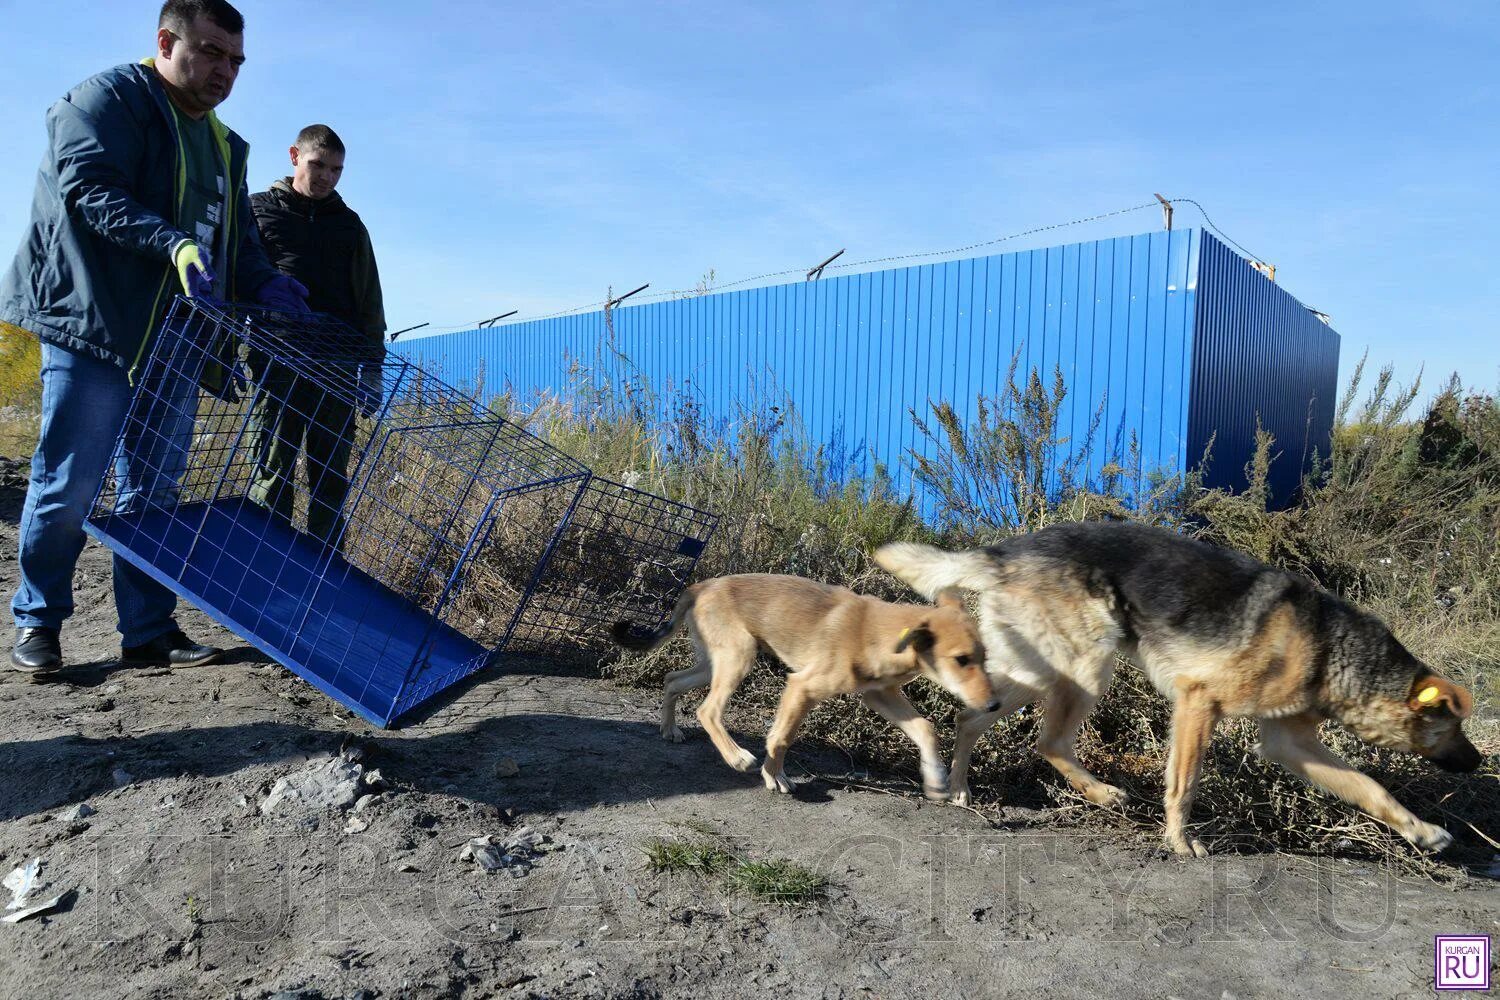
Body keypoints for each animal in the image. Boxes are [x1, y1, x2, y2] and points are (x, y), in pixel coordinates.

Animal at [876, 521, 1482, 857]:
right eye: (1455, 726)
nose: (1478, 762)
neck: (1332, 649)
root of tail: (1004, 552)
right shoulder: (1199, 704)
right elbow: (1184, 785)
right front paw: (1179, 842)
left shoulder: (1291, 745)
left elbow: (1371, 789)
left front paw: (1423, 833)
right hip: (1086, 668)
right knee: (1048, 742)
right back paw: (1104, 794)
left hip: (1034, 673)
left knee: (970, 718)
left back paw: (959, 789)